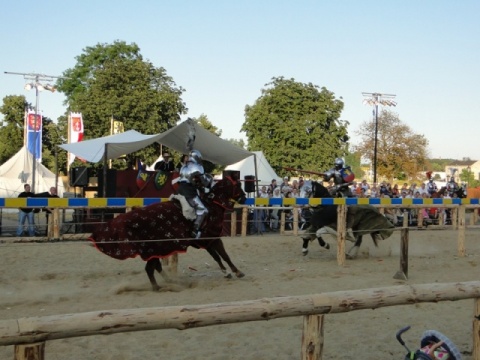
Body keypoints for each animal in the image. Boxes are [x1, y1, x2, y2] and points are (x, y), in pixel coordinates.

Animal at [89, 176, 246, 292]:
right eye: (238, 185)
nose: (244, 197)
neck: (212, 206)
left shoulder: (207, 242)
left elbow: (217, 257)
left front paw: (228, 273)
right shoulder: (213, 239)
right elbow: (223, 256)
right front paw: (236, 272)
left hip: (155, 250)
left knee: (154, 267)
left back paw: (168, 282)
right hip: (155, 248)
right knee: (150, 268)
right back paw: (159, 287)